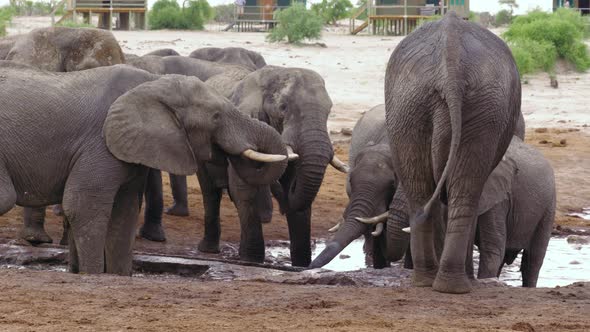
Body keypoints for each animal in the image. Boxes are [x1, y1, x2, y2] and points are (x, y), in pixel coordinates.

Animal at [0, 63, 286, 274]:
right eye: (216, 116)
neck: (153, 83)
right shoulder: (100, 142)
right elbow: (82, 206)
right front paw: (91, 275)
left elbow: (125, 212)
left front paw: (116, 277)